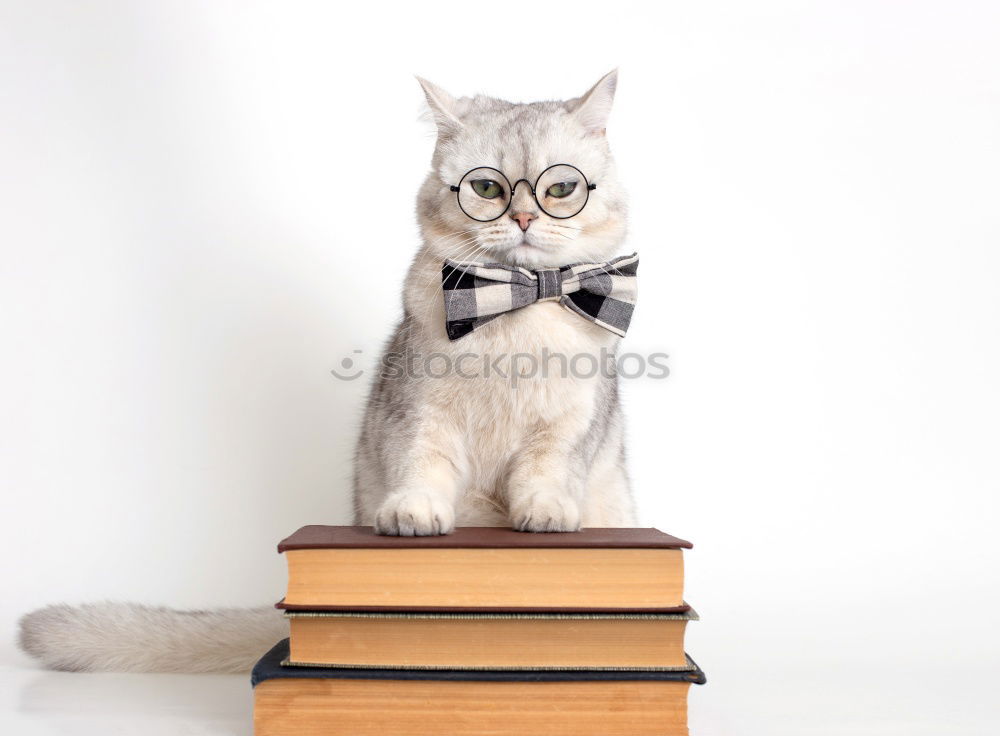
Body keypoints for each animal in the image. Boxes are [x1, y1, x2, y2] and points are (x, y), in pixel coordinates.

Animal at [17, 72, 632, 676]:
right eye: (485, 189)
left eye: (560, 189)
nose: (523, 218)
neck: (513, 309)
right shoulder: (418, 412)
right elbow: (422, 466)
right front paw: (413, 511)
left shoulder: (571, 427)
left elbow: (547, 472)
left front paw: (546, 510)